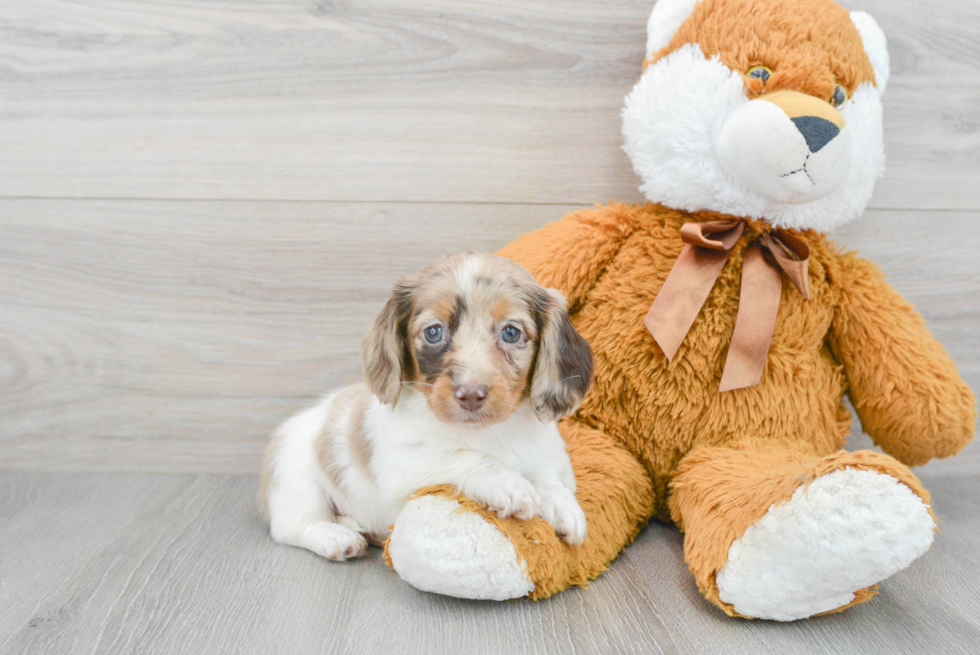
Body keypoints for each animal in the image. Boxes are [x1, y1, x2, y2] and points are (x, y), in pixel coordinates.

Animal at [260, 254, 592, 560]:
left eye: (511, 332)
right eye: (434, 332)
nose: (470, 394)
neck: (490, 434)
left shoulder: (547, 453)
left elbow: (548, 477)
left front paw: (562, 504)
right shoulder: (407, 460)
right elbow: (468, 457)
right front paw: (509, 484)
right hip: (298, 480)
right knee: (292, 526)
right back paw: (337, 538)